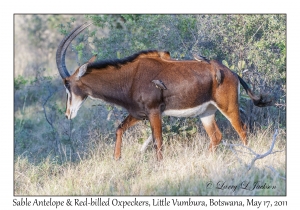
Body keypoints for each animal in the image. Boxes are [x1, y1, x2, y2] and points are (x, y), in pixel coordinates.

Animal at [56, 22, 272, 161]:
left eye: (68, 86)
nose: (67, 114)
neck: (130, 77)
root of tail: (231, 72)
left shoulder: (154, 112)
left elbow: (157, 142)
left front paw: (158, 165)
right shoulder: (139, 113)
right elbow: (119, 128)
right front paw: (117, 158)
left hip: (228, 107)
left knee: (242, 131)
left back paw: (249, 156)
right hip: (206, 113)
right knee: (216, 137)